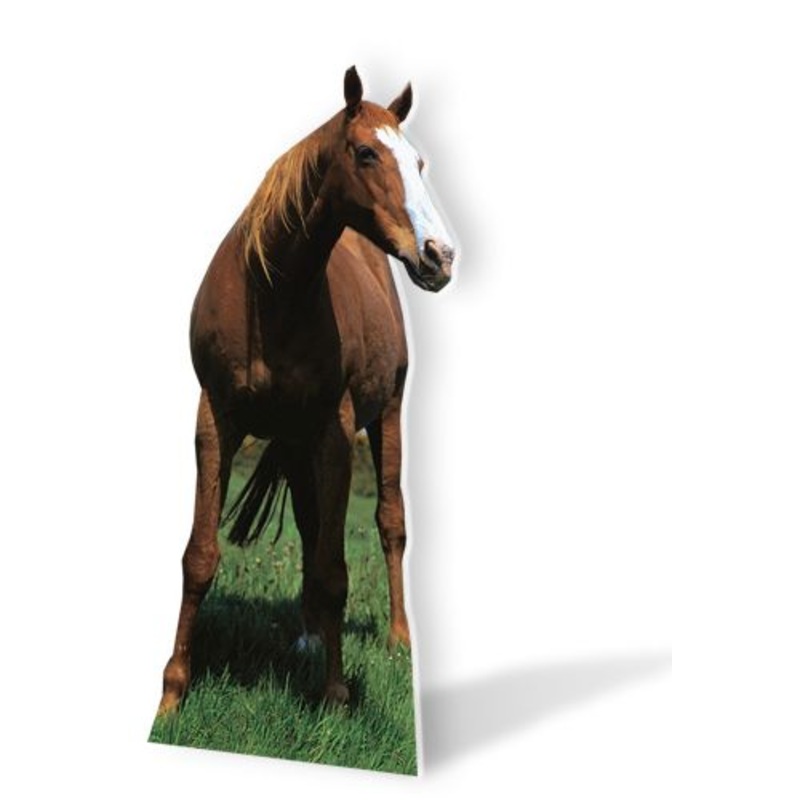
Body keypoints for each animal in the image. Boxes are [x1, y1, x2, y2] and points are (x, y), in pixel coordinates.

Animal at [158, 66, 456, 713]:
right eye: (367, 153)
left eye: (418, 162)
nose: (441, 255)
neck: (270, 294)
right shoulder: (214, 421)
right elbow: (200, 556)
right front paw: (171, 693)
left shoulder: (335, 430)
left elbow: (336, 569)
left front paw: (337, 693)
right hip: (294, 446)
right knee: (309, 521)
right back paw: (308, 635)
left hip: (384, 414)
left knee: (390, 524)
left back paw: (396, 639)